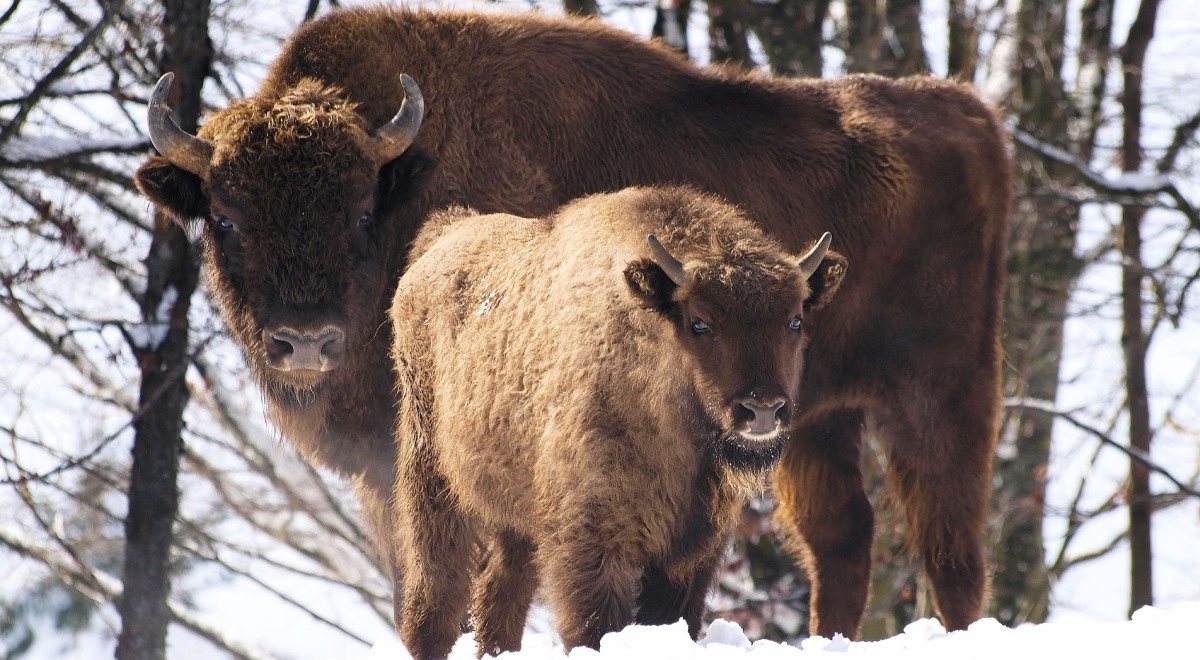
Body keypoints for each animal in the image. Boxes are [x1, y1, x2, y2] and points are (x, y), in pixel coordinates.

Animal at [388, 187, 849, 660]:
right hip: (432, 480)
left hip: (511, 514)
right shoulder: (592, 545)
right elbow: (592, 627)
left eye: (795, 319)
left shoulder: (691, 555)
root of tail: (442, 238)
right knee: (435, 595)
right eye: (700, 322)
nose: (763, 409)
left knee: (500, 596)